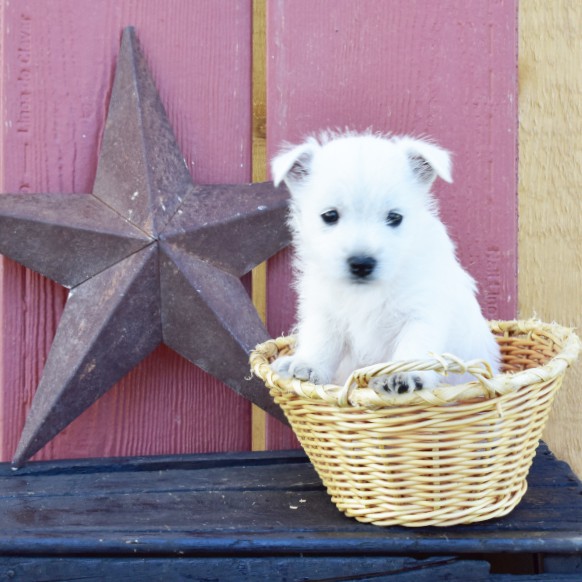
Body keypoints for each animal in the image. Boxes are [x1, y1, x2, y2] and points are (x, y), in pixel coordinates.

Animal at [270, 132, 502, 394]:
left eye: (395, 217)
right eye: (329, 216)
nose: (361, 263)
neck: (366, 292)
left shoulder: (421, 313)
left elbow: (413, 349)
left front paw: (404, 375)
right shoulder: (325, 311)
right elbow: (321, 340)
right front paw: (308, 365)